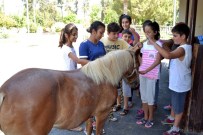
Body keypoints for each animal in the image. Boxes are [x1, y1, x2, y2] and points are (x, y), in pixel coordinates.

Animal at [0, 49, 139, 135]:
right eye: (138, 63)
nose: (136, 85)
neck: (104, 77)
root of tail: (5, 91)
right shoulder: (101, 114)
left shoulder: (89, 115)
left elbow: (89, 130)